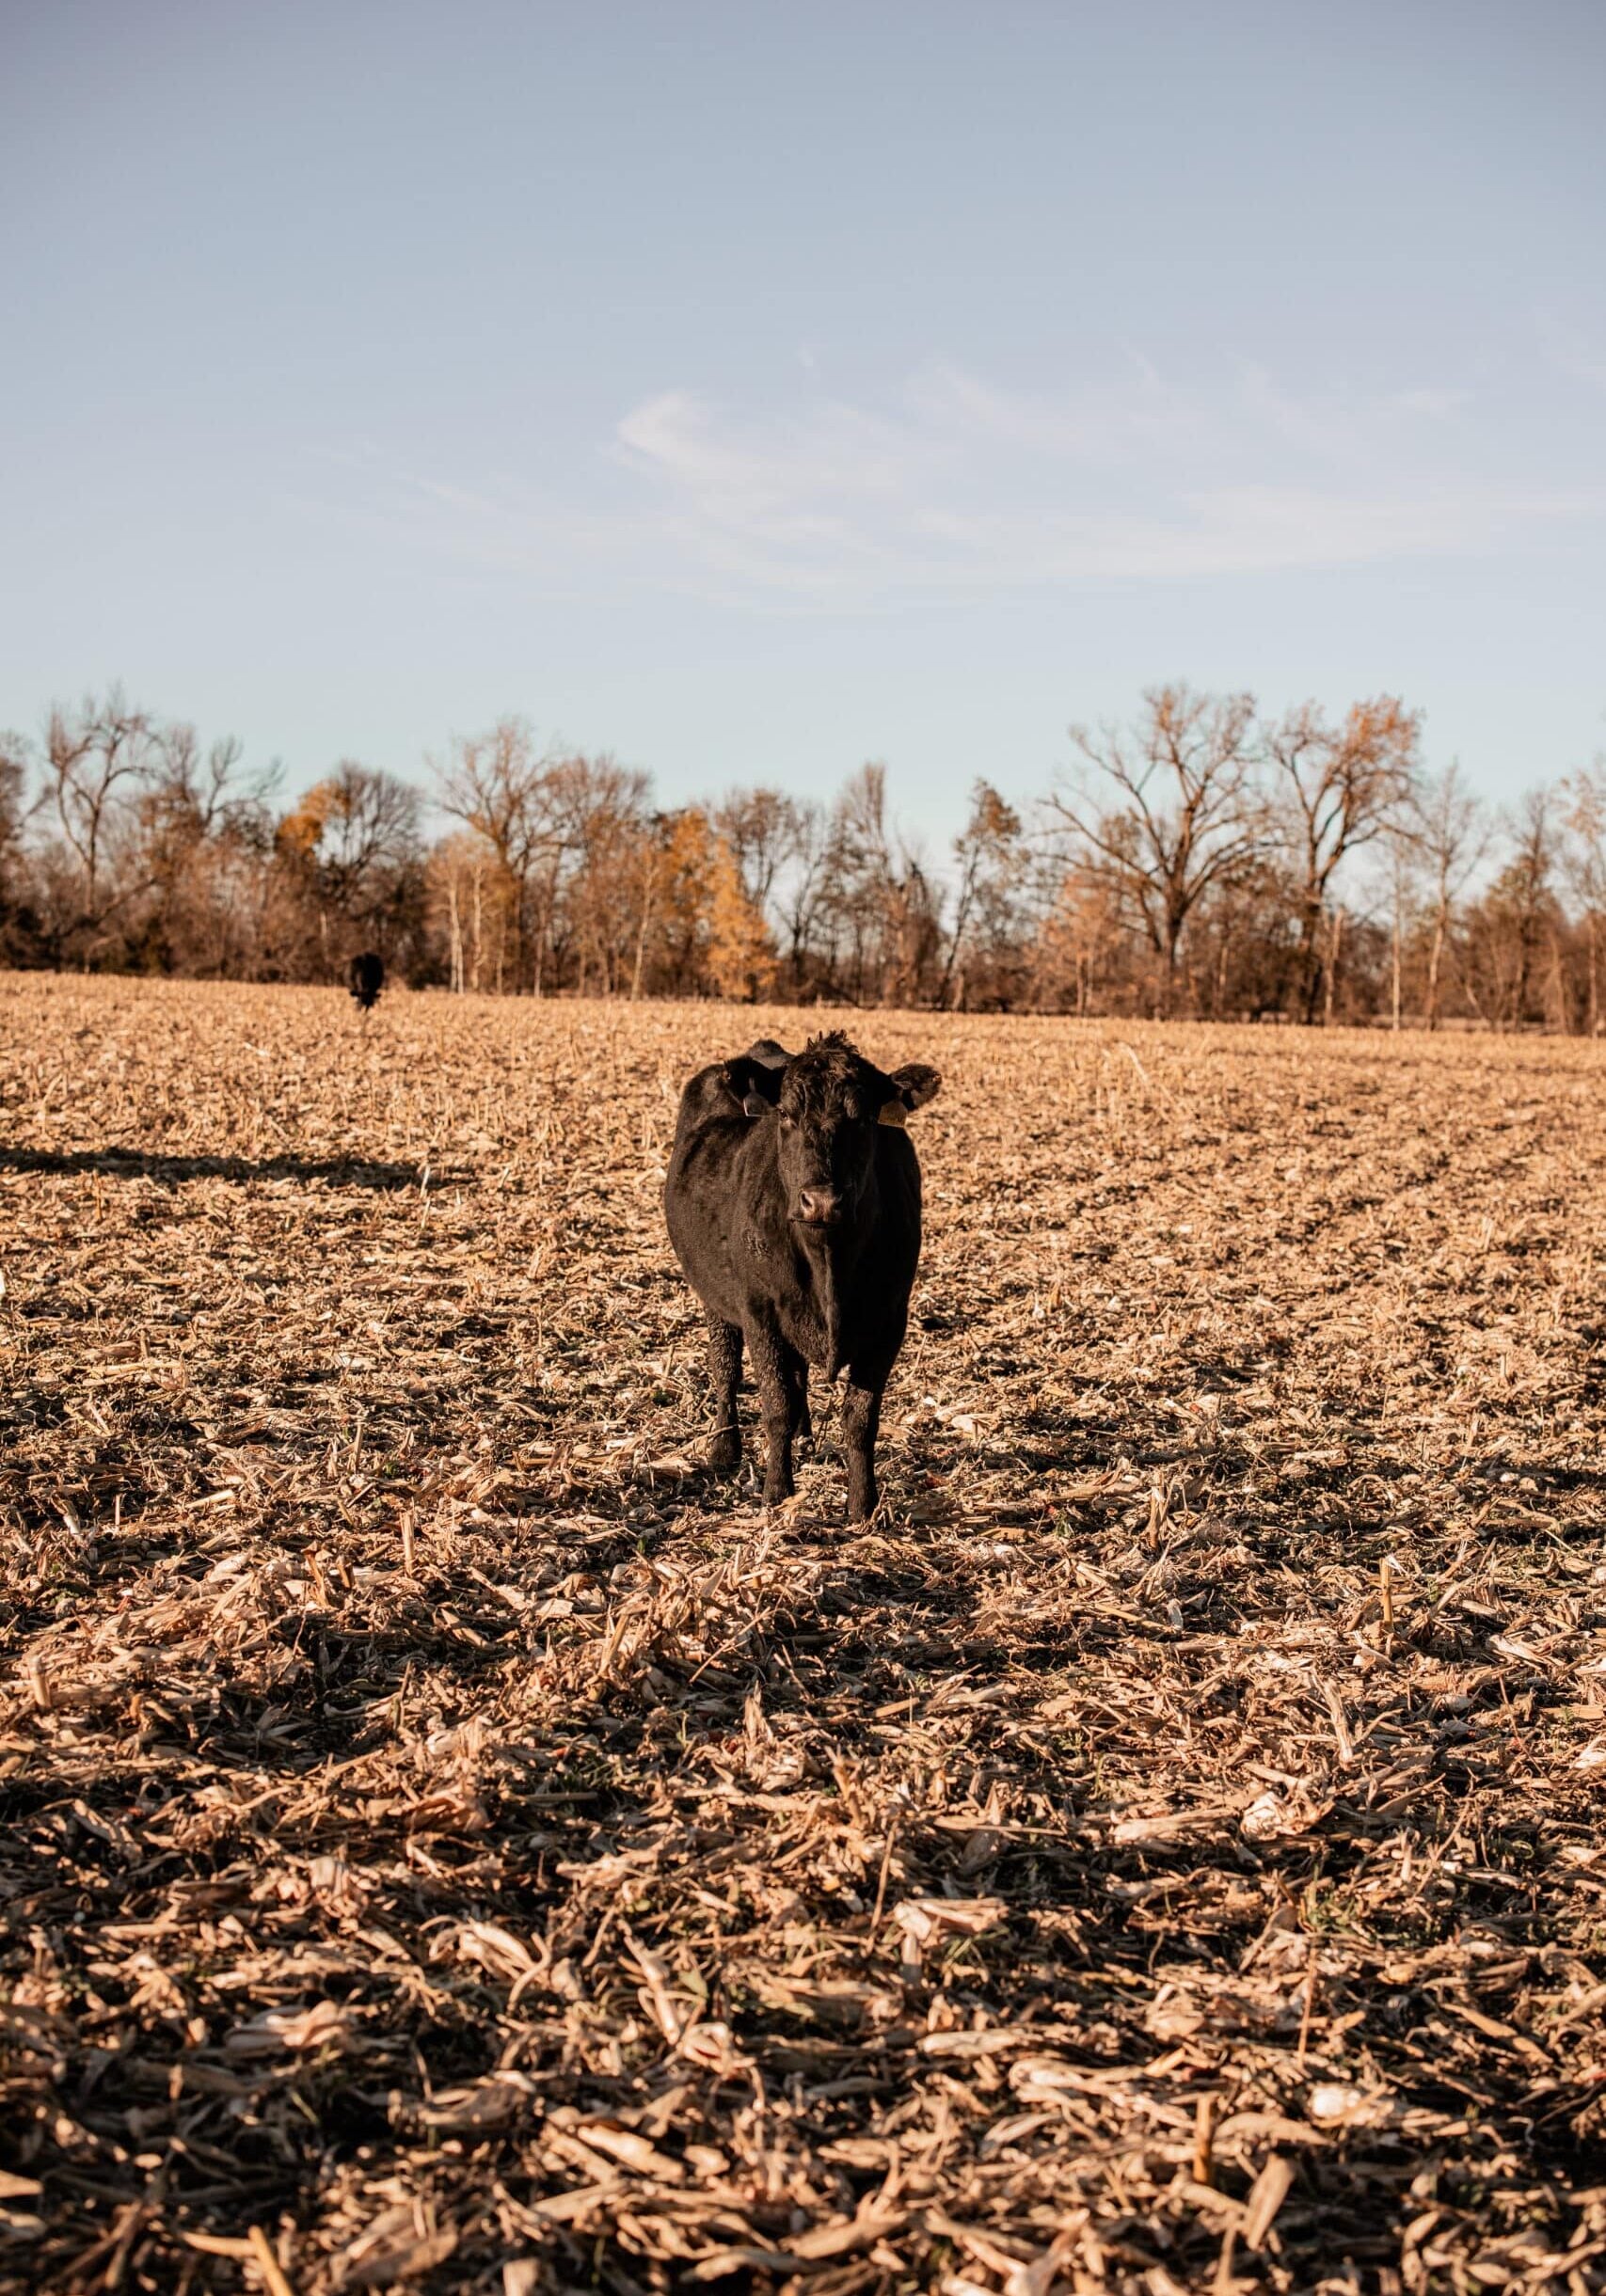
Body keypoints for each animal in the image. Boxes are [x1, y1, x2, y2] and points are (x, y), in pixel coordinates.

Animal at [664, 1031, 941, 1521]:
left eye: (863, 1119)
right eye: (787, 1116)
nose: (822, 1201)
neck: (829, 1262)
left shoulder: (890, 1321)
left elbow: (860, 1417)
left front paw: (863, 1505)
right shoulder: (761, 1315)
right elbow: (776, 1405)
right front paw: (776, 1493)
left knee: (798, 1379)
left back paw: (806, 1440)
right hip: (717, 1302)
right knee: (726, 1369)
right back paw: (723, 1449)